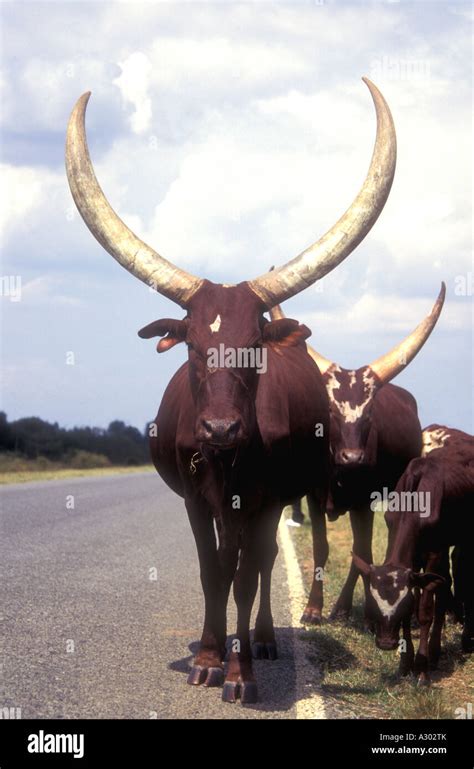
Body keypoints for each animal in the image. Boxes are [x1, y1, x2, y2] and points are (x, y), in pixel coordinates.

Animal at [66, 78, 396, 704]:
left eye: (255, 344)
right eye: (193, 345)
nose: (220, 429)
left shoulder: (266, 500)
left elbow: (245, 575)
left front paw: (240, 673)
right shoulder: (197, 501)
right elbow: (212, 572)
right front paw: (209, 658)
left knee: (260, 563)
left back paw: (262, 640)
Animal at [270, 284, 444, 624]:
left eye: (370, 413)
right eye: (330, 411)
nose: (353, 458)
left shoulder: (365, 502)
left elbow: (363, 552)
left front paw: (353, 607)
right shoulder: (314, 496)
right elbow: (322, 547)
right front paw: (313, 609)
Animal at [356, 426, 474, 684]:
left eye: (400, 605)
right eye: (373, 603)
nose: (386, 643)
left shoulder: (434, 553)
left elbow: (425, 612)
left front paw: (420, 667)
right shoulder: (413, 560)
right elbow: (420, 600)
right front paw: (404, 663)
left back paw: (464, 640)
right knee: (445, 584)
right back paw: (437, 651)